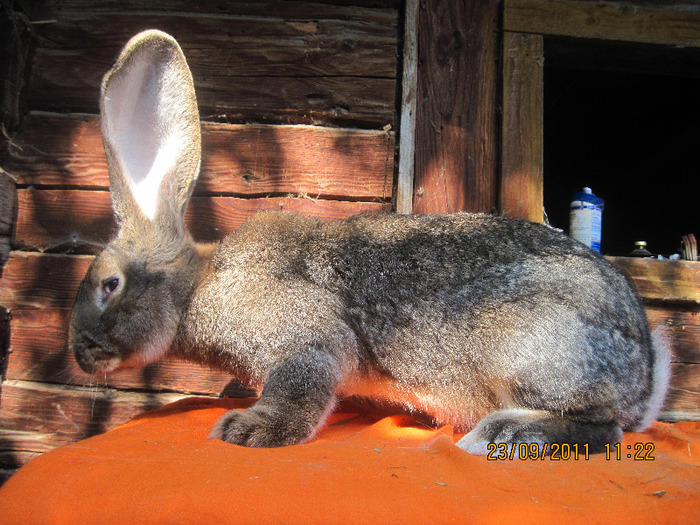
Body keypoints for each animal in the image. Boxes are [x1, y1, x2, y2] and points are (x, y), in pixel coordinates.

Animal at [68, 29, 668, 454]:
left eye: (109, 285)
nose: (79, 353)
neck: (197, 288)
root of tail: (645, 374)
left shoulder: (306, 339)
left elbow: (300, 385)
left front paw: (247, 429)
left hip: (534, 349)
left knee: (603, 429)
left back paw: (501, 435)